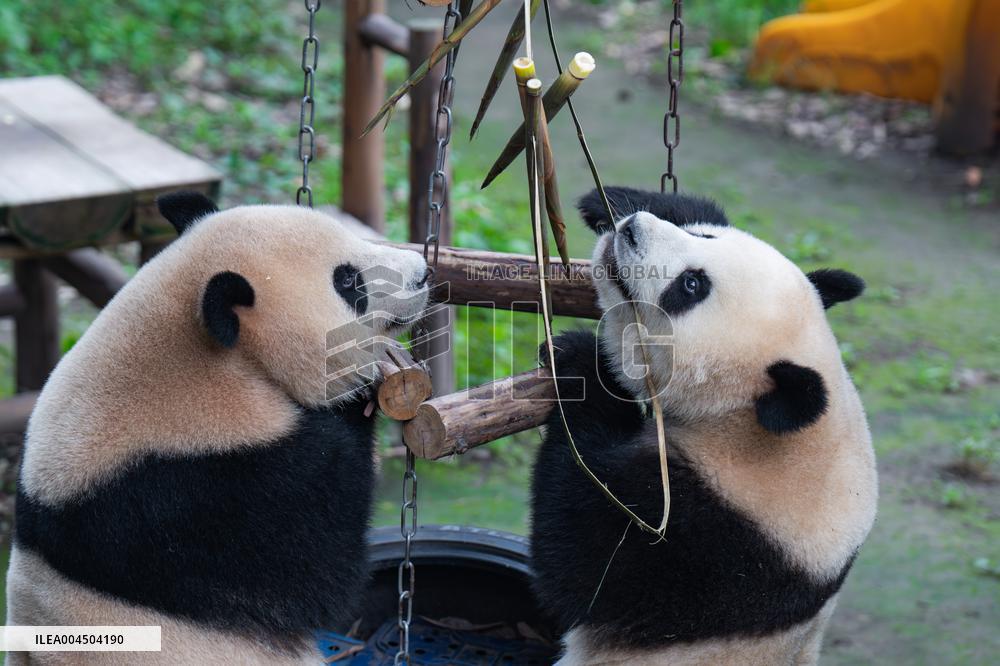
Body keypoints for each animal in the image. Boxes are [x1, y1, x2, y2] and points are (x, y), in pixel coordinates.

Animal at [530, 187, 877, 665]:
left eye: (691, 286)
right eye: (705, 237)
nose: (632, 229)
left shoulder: (723, 543)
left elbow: (582, 554)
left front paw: (580, 361)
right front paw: (612, 200)